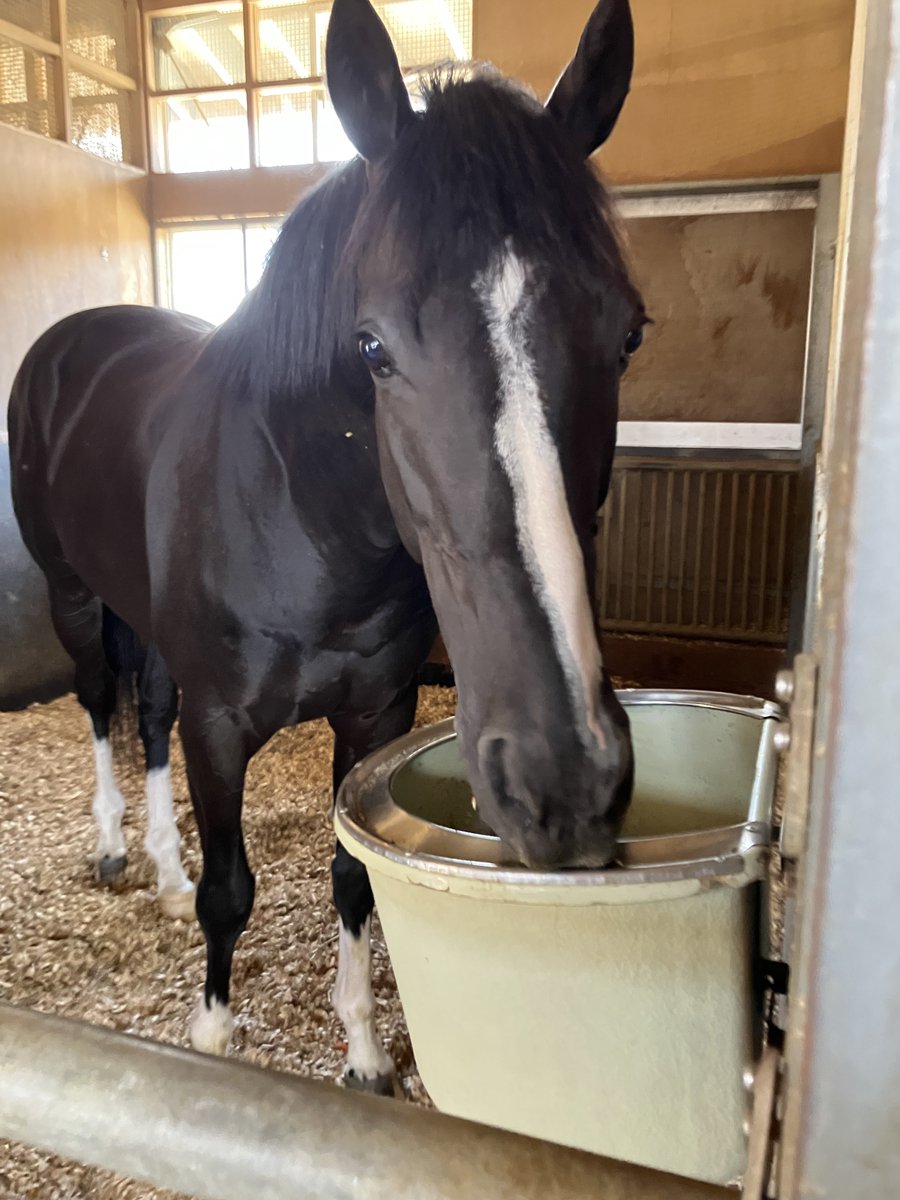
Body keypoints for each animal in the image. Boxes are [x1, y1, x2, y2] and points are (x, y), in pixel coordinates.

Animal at [8, 0, 645, 1094]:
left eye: (630, 334)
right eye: (374, 347)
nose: (565, 780)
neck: (302, 513)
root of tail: (71, 338)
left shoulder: (376, 713)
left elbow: (353, 876)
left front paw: (363, 1051)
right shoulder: (221, 724)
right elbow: (232, 889)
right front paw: (213, 1038)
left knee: (146, 714)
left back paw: (162, 869)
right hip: (73, 595)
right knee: (99, 701)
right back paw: (117, 851)